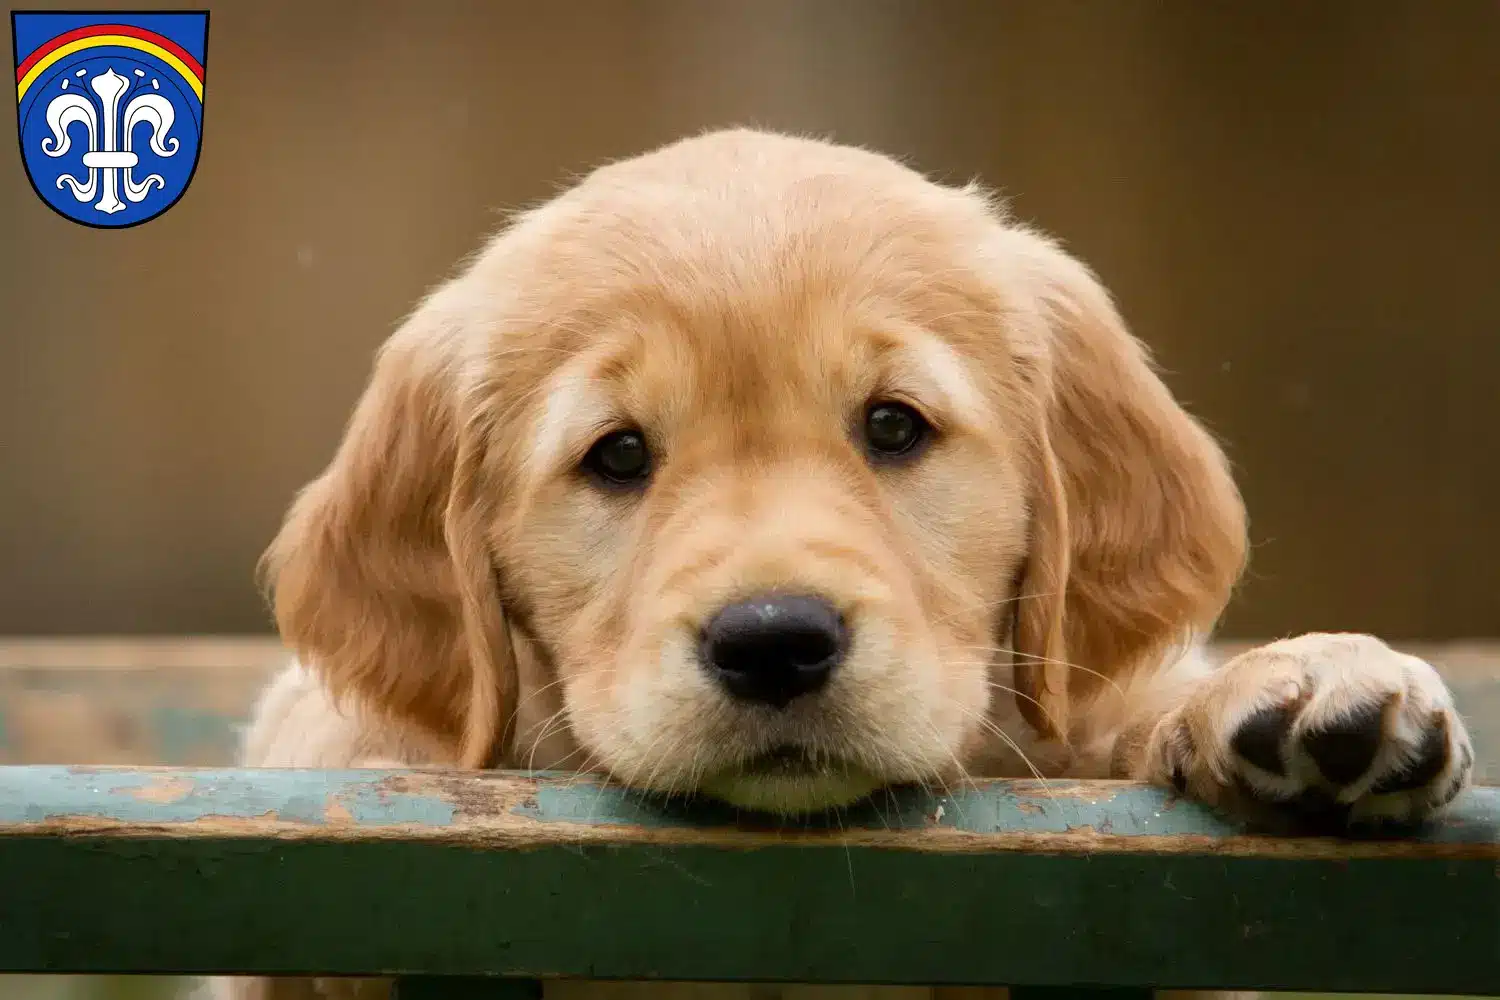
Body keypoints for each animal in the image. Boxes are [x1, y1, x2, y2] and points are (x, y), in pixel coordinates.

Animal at [217, 128, 1470, 995]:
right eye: (617, 455)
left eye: (894, 426)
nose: (774, 642)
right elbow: (343, 756)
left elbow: (1126, 711)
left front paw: (1303, 688)